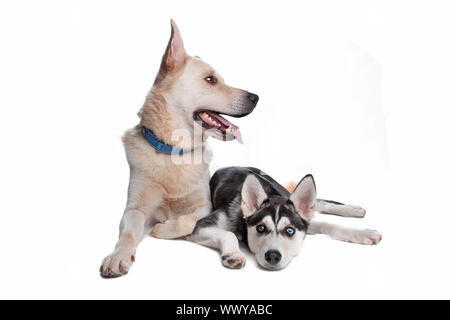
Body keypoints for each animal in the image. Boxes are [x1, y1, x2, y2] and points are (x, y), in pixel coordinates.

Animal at [100, 19, 258, 278]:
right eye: (210, 80)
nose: (256, 97)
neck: (175, 152)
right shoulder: (135, 209)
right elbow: (128, 234)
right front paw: (119, 255)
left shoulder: (204, 206)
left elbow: (187, 220)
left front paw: (162, 228)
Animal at [188, 168, 382, 270]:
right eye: (260, 228)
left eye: (289, 231)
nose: (273, 256)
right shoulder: (201, 227)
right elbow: (229, 234)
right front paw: (234, 254)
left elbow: (329, 225)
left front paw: (363, 233)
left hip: (286, 192)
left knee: (319, 205)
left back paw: (353, 210)